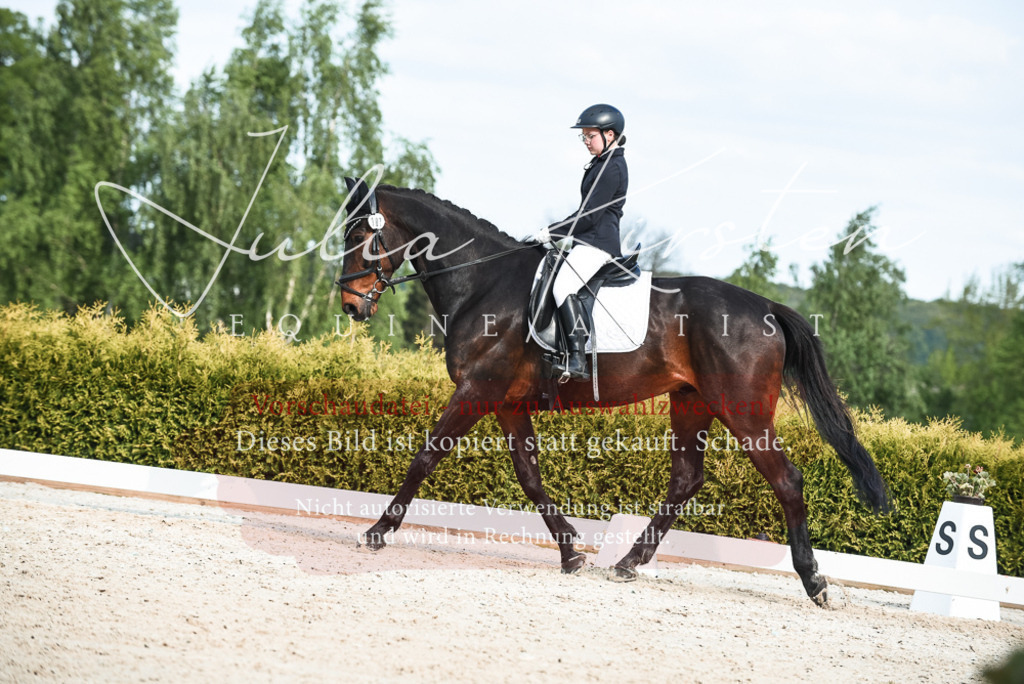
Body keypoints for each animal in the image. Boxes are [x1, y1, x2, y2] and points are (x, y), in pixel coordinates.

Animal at [335, 177, 889, 606]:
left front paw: (377, 532)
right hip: (692, 403)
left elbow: (425, 458)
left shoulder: (477, 390)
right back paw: (628, 562)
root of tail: (767, 308)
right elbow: (530, 477)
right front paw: (571, 551)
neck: (482, 281)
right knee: (687, 479)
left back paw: (815, 582)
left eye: (360, 233)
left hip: (743, 411)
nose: (350, 306)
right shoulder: (507, 402)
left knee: (787, 480)